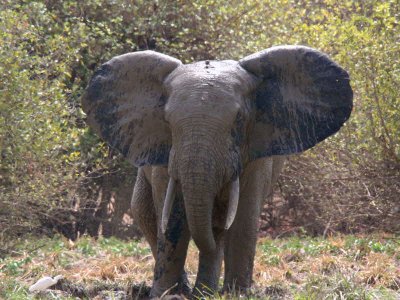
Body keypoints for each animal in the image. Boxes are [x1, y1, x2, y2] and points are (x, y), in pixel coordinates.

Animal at [82, 45, 354, 296]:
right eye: (167, 121)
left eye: (239, 119)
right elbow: (173, 217)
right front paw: (165, 295)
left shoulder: (256, 151)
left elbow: (243, 216)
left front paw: (236, 294)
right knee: (146, 214)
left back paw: (205, 292)